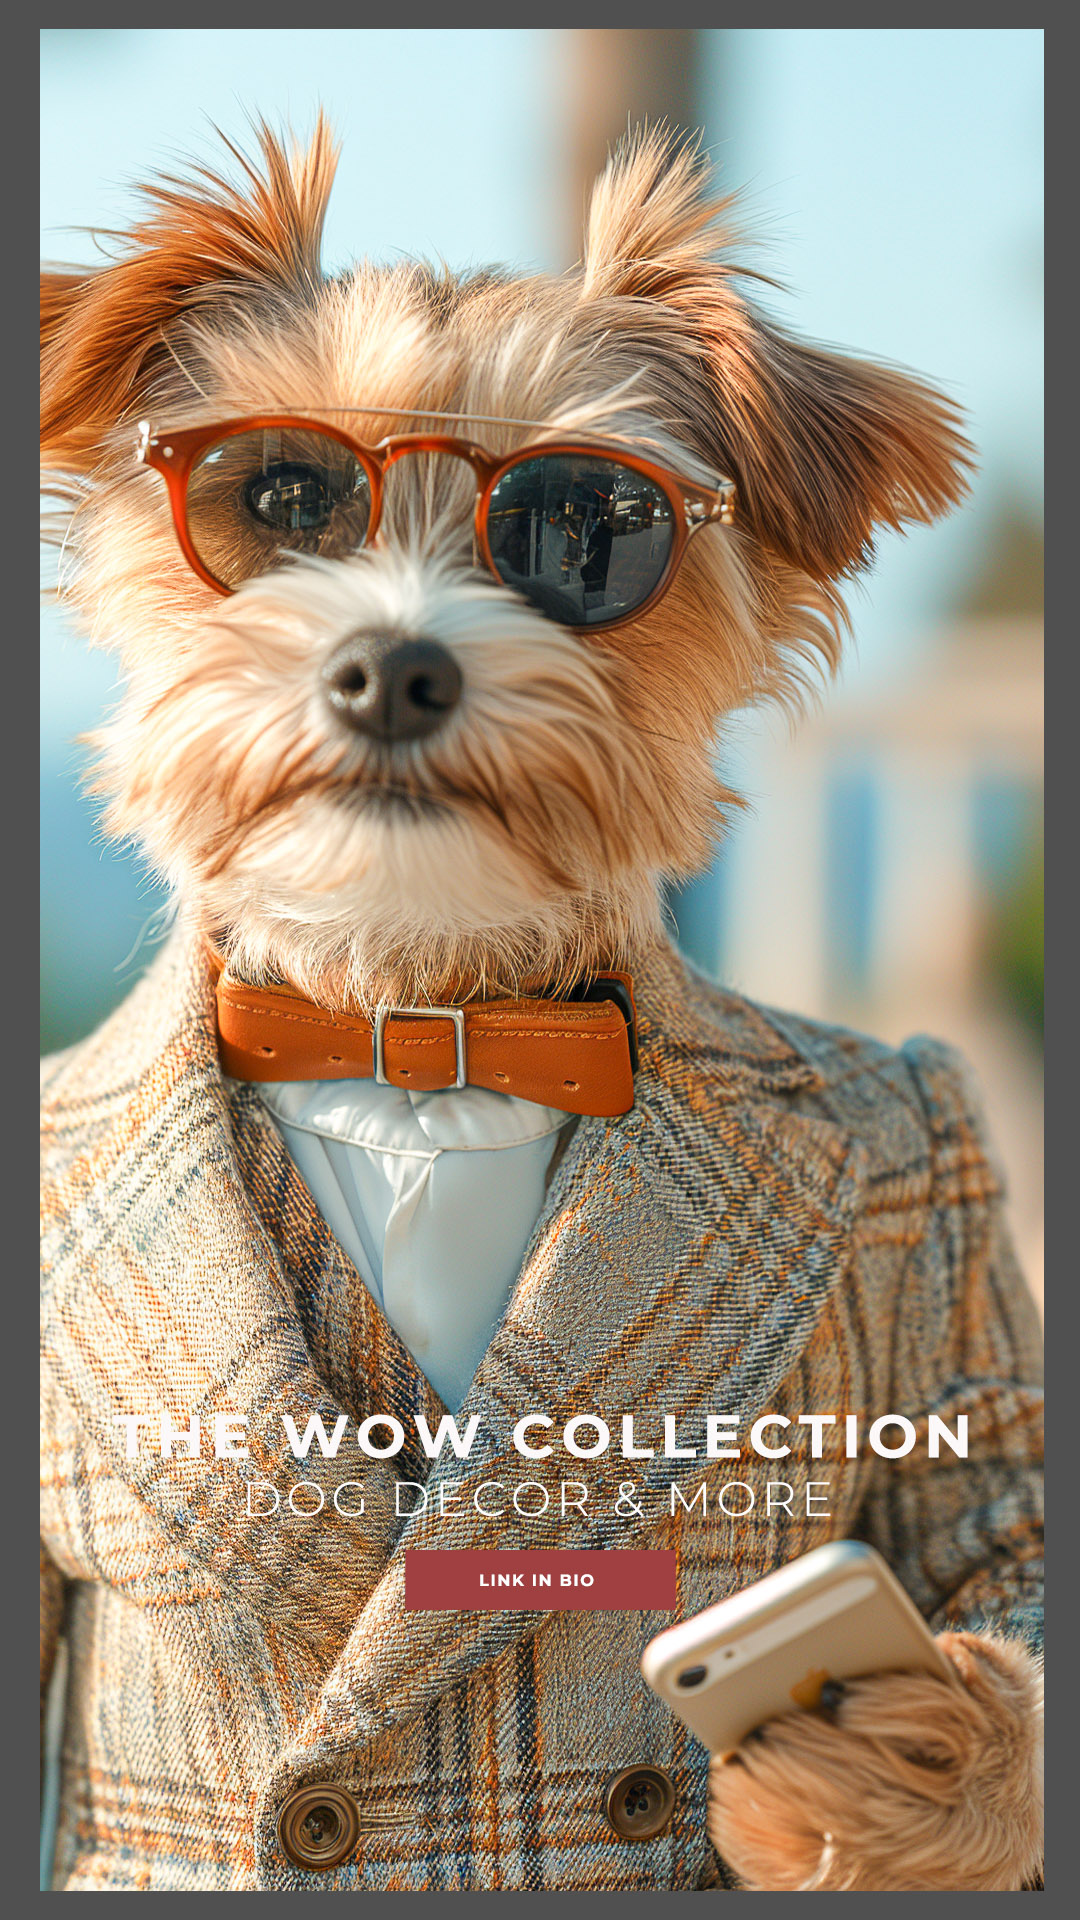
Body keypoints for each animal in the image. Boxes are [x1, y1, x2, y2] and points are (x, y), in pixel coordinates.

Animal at [37, 116, 1037, 1889]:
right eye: (279, 494)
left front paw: (909, 1766)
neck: (422, 1034)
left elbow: (1001, 1545)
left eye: (590, 527)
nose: (395, 663)